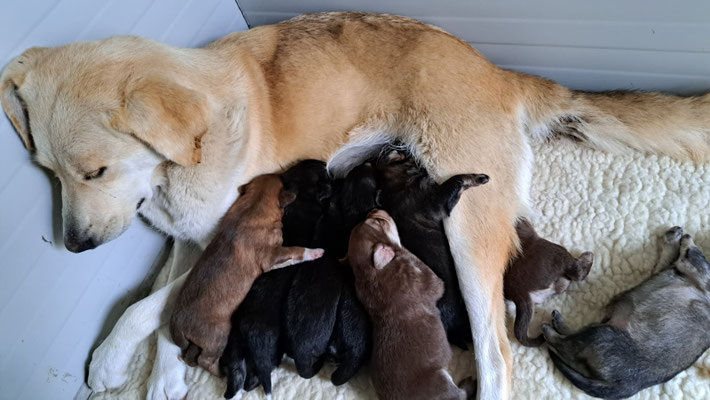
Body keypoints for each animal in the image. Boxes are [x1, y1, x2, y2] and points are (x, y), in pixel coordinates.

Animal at [170, 174, 323, 375]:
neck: (253, 205)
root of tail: (177, 324)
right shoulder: (271, 255)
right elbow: (296, 250)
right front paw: (316, 252)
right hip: (219, 334)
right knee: (206, 360)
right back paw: (221, 372)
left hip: (200, 341)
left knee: (191, 357)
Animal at [346, 209, 473, 400]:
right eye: (379, 222)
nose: (376, 210)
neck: (369, 271)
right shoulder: (428, 280)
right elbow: (430, 277)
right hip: (440, 383)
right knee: (461, 394)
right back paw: (469, 383)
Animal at [543, 227, 710, 399]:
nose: (685, 232)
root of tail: (624, 386)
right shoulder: (662, 270)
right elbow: (667, 256)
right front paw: (673, 237)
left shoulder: (690, 266)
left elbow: (684, 255)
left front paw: (681, 241)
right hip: (597, 331)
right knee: (573, 349)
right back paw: (558, 323)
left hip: (601, 335)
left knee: (565, 346)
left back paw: (550, 330)